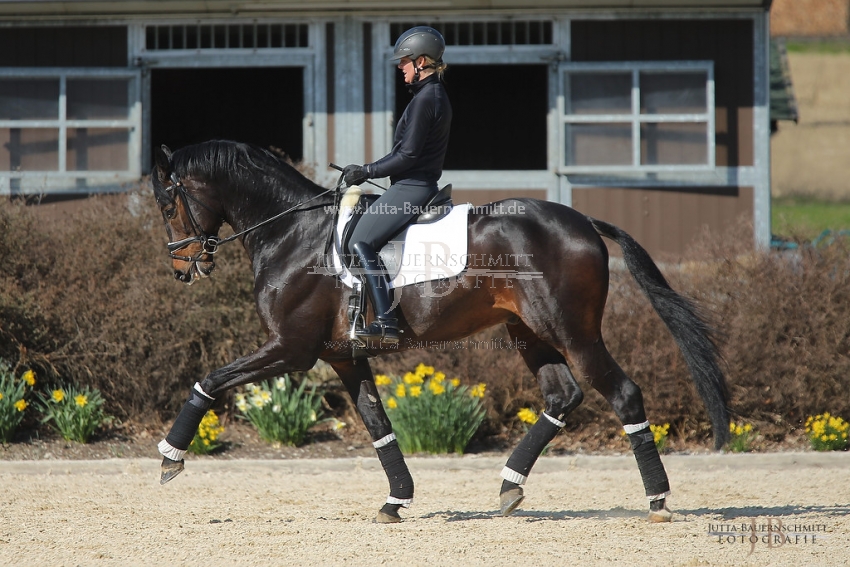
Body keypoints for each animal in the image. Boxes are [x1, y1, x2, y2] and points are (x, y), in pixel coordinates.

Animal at [149, 140, 724, 524]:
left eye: (167, 203)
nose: (181, 268)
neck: (291, 231)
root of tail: (582, 221)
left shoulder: (291, 350)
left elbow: (210, 380)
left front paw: (170, 457)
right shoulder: (343, 357)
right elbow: (377, 425)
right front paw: (396, 499)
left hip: (572, 332)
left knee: (622, 394)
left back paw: (657, 499)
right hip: (529, 333)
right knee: (563, 395)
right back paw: (509, 487)